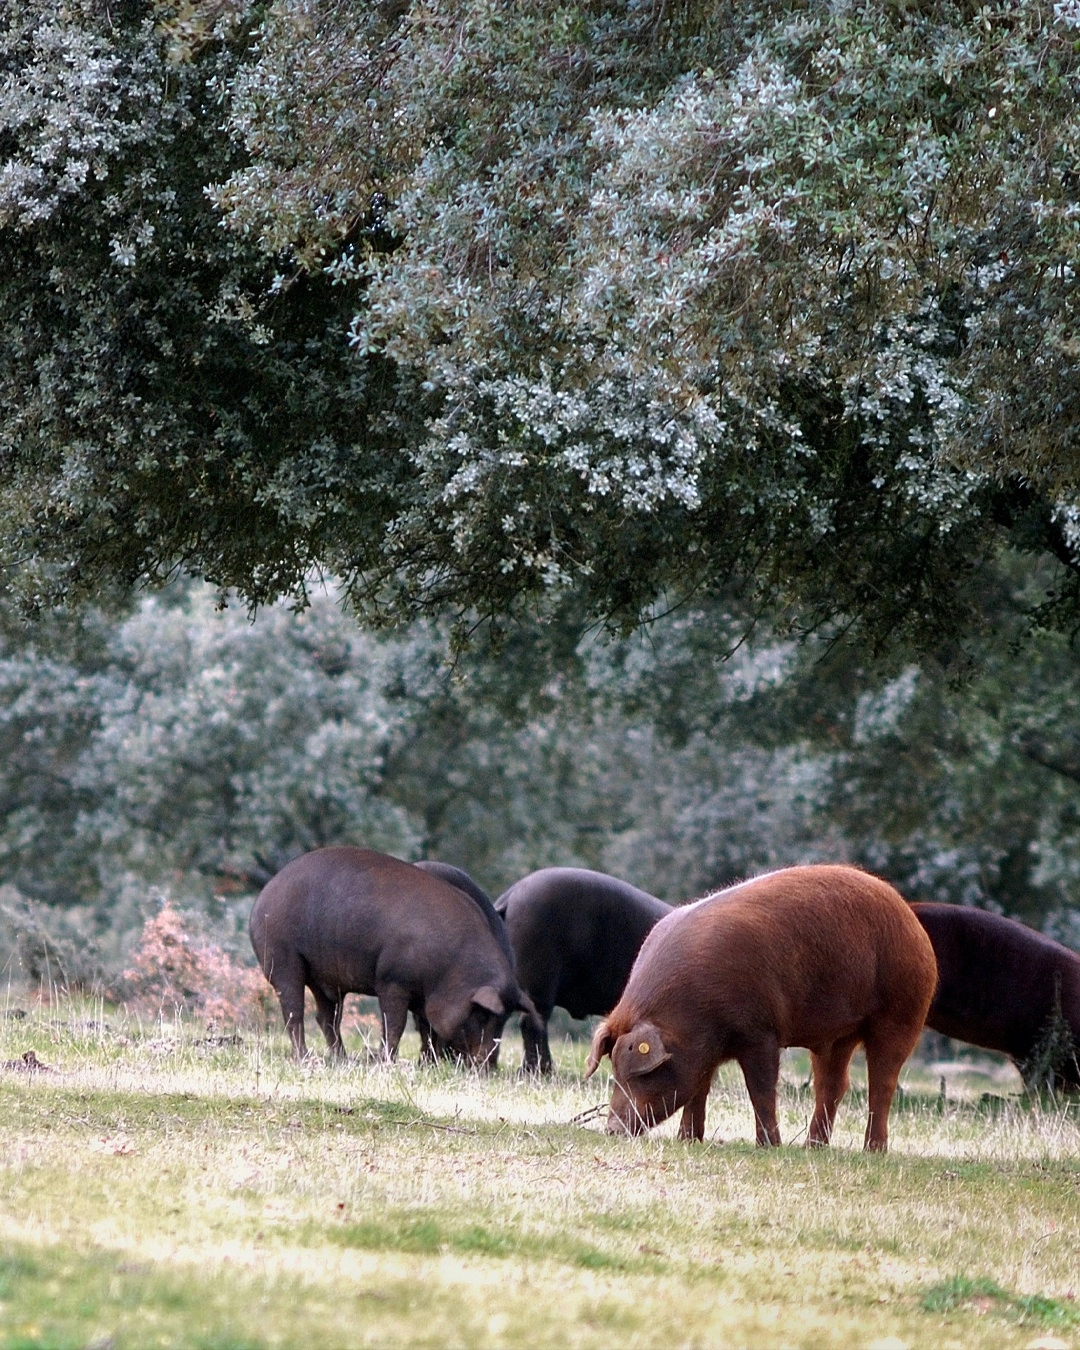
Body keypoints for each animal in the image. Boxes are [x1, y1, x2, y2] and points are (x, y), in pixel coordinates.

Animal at [249, 842, 545, 1063]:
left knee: (326, 1018)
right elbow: (394, 1024)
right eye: (482, 1015)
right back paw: (305, 1058)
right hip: (282, 957)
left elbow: (427, 1029)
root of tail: (263, 898)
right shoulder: (392, 980)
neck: (450, 969)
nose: (484, 1063)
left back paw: (341, 1058)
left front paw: (429, 1063)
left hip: (325, 980)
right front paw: (389, 1061)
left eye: (503, 1020)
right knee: (293, 1012)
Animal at [583, 864, 934, 1150]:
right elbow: (699, 1089)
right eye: (615, 1071)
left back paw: (873, 1150)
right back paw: (813, 1147)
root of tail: (911, 920)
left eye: (641, 1074)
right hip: (838, 1035)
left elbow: (760, 1088)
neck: (693, 1015)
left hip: (902, 1012)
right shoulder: (703, 1052)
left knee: (882, 1083)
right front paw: (688, 1140)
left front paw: (769, 1146)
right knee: (832, 1085)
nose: (612, 1129)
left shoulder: (760, 1032)